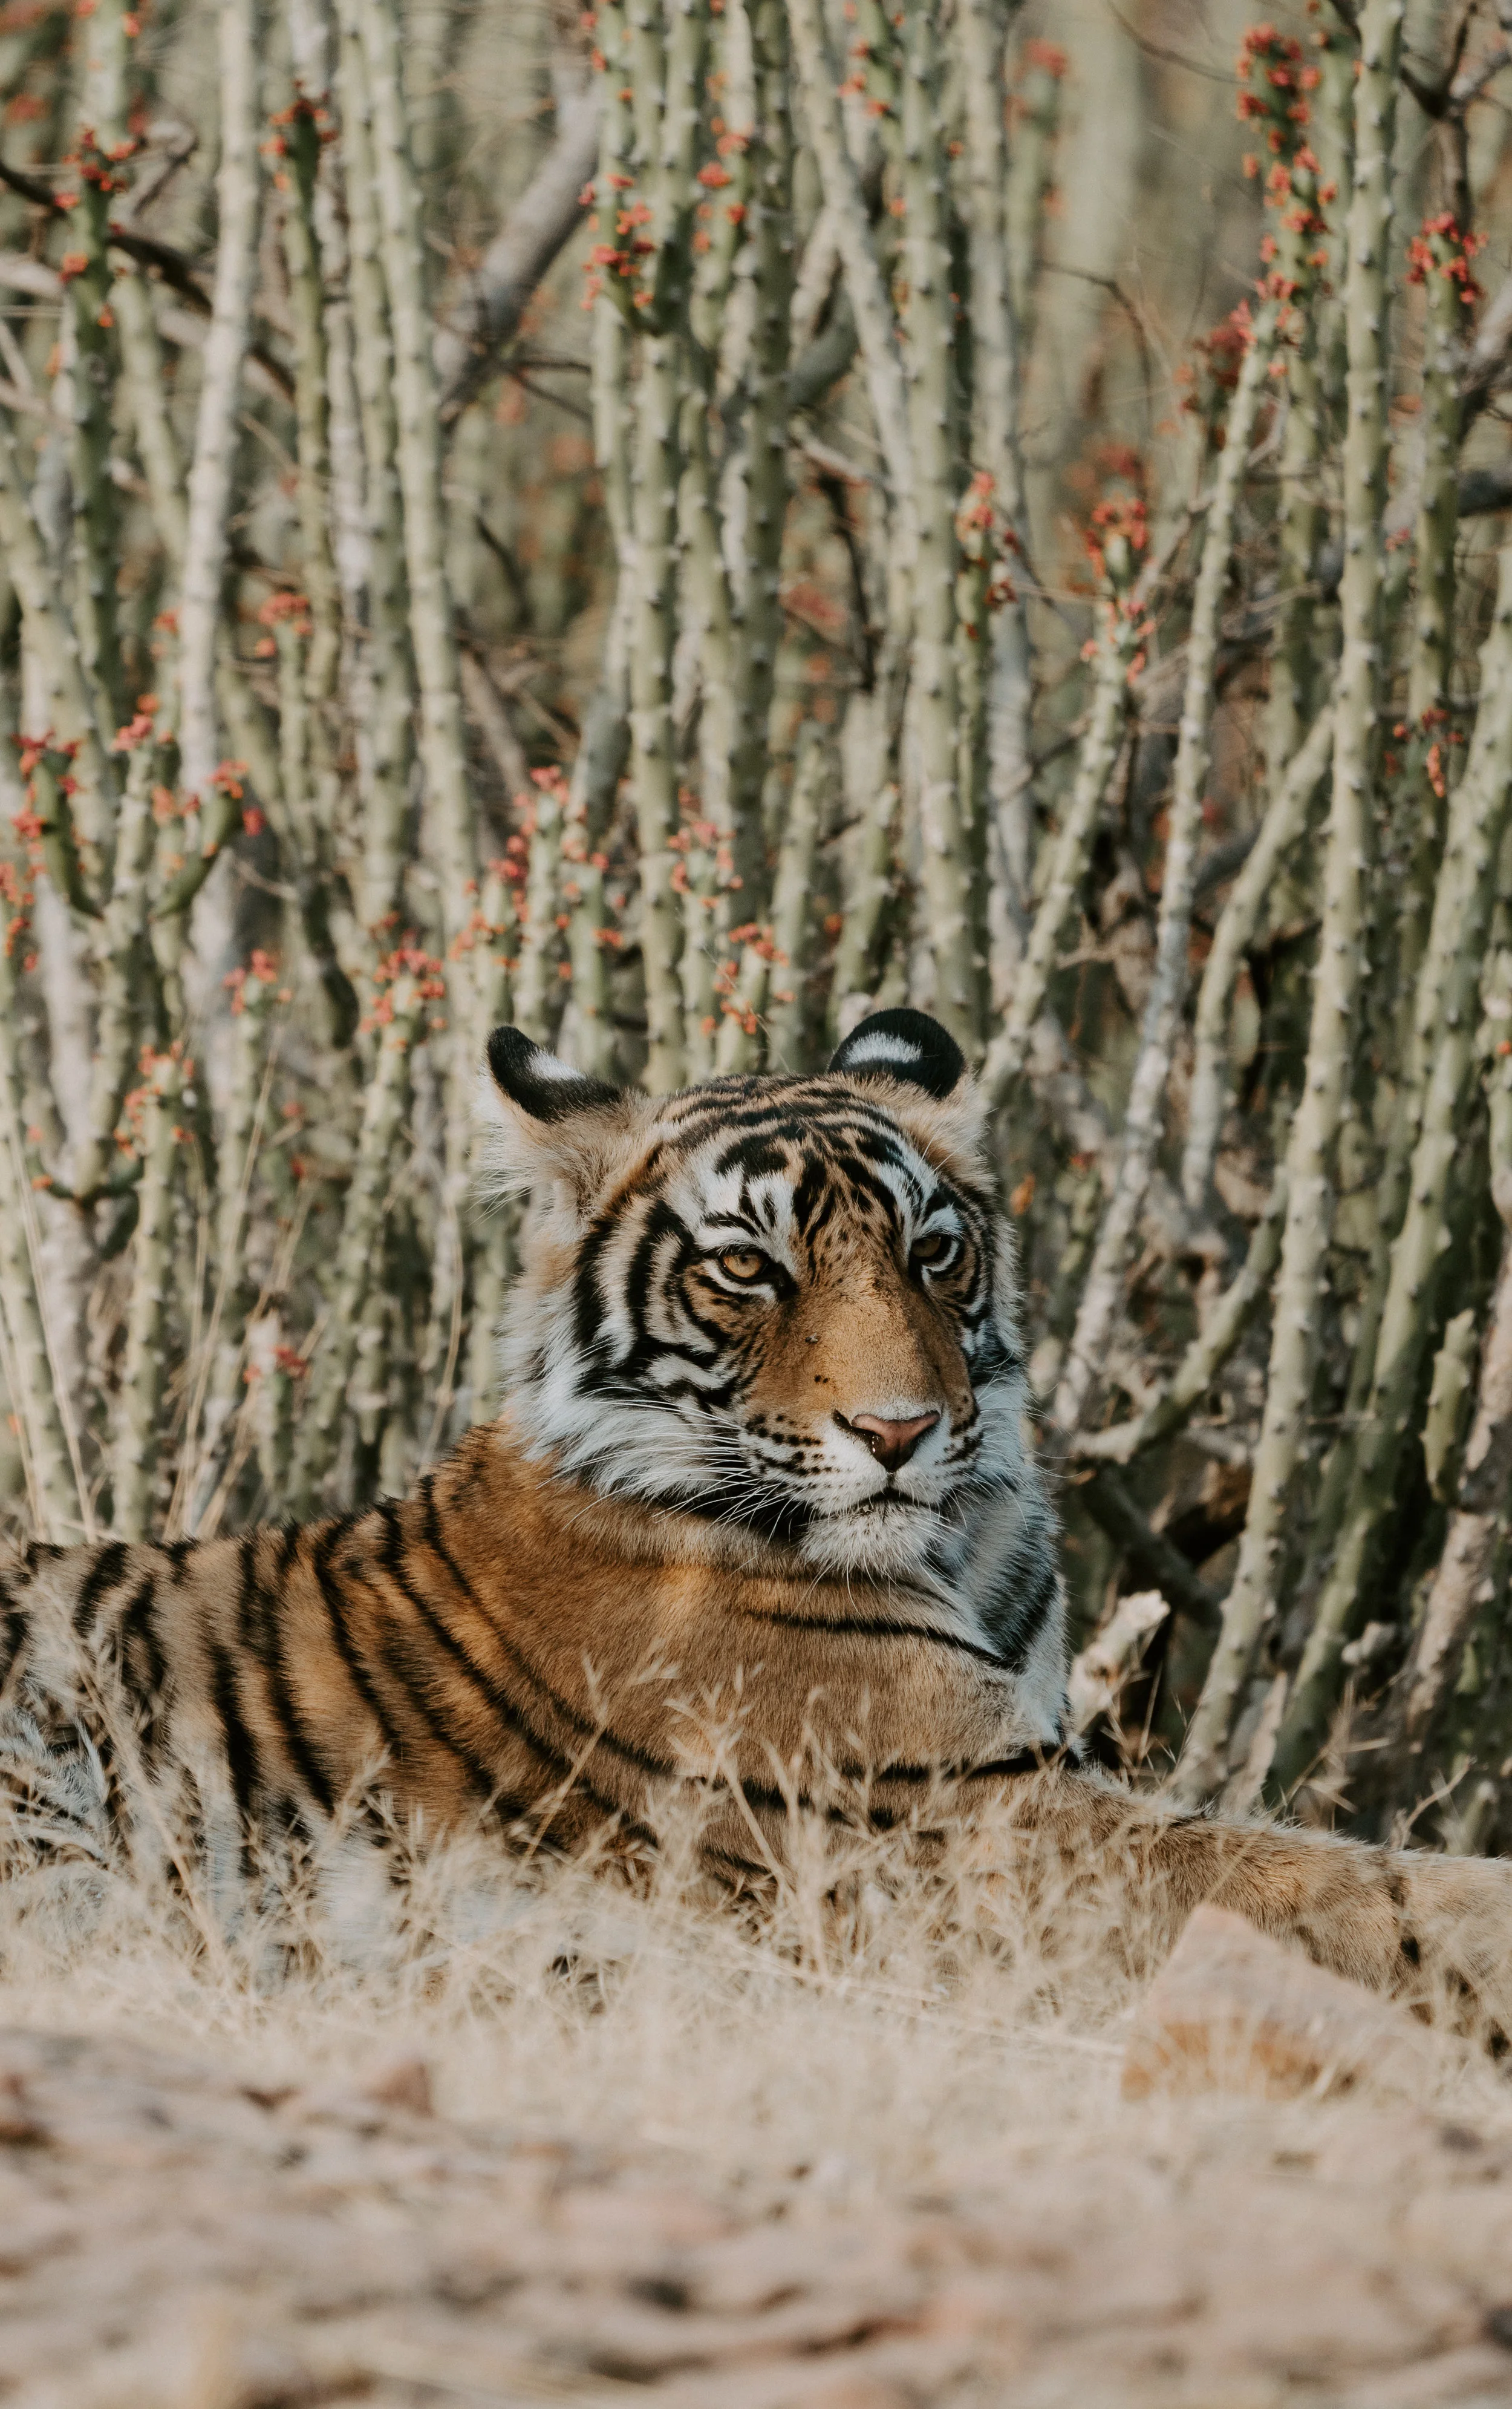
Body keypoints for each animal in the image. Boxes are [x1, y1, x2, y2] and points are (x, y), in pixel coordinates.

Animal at [2, 1005, 1510, 2004]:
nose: (899, 1430)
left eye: (932, 1251)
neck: (960, 1544)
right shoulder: (982, 1823)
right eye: (745, 1268)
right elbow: (1345, 1885)